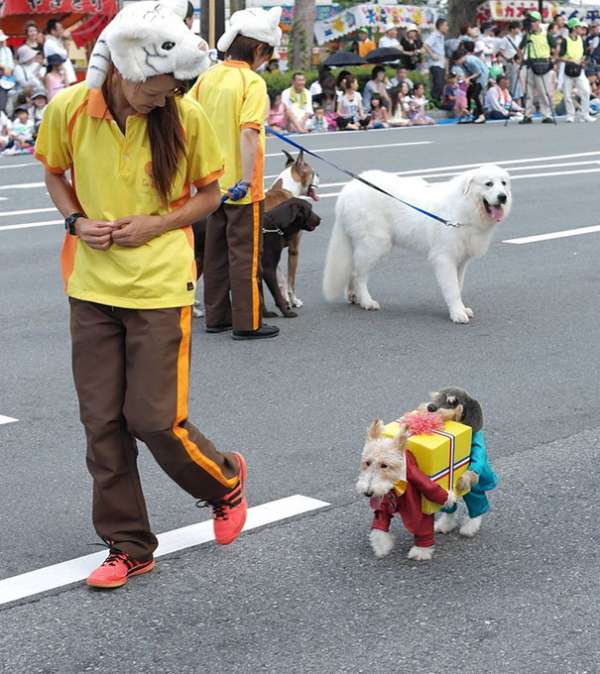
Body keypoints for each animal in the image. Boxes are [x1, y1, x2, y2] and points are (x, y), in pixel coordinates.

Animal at [324, 162, 510, 320]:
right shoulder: (445, 259)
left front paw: (462, 309)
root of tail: (347, 190)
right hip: (375, 244)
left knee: (353, 271)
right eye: (488, 184)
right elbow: (453, 290)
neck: (465, 208)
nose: (503, 197)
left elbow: (459, 286)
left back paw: (354, 297)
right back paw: (367, 302)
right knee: (359, 275)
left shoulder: (460, 261)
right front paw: (457, 314)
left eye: (504, 183)